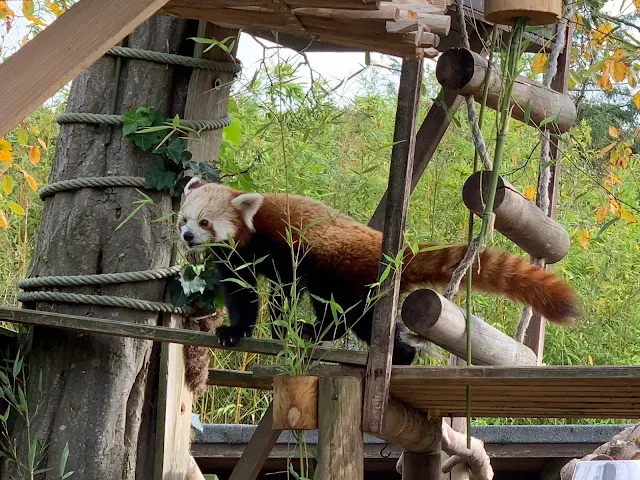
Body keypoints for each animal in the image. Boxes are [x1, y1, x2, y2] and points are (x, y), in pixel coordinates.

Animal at [178, 178, 576, 366]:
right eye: (183, 219)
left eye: (205, 222)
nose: (186, 236)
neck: (251, 233)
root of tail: (394, 253)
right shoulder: (234, 259)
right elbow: (241, 293)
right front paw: (235, 330)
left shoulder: (283, 244)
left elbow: (286, 287)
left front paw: (280, 323)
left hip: (344, 274)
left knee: (350, 317)